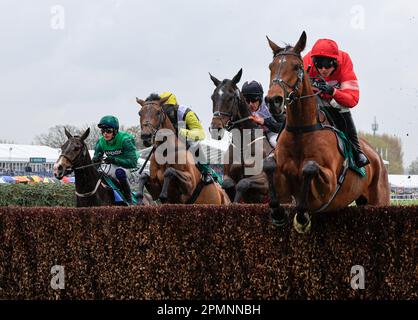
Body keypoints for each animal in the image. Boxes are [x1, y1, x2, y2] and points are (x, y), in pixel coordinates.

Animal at [209, 69, 274, 204]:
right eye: (213, 97)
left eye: (230, 98)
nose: (215, 128)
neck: (243, 144)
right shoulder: (227, 176)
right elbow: (228, 184)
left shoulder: (264, 181)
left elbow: (243, 183)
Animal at [262, 31, 390, 232]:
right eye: (271, 66)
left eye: (297, 67)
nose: (273, 100)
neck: (301, 130)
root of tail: (377, 156)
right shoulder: (283, 183)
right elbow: (268, 165)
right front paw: (277, 213)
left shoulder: (329, 185)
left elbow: (309, 167)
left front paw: (302, 216)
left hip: (379, 200)